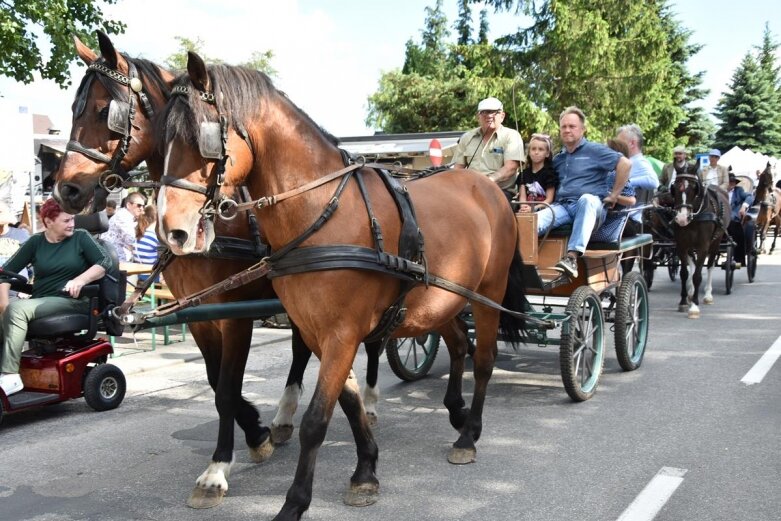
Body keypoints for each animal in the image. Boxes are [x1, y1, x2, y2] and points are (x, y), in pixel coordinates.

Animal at [51, 31, 384, 508]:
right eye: (73, 110)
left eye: (103, 111)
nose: (65, 190)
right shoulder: (199, 313)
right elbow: (213, 380)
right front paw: (257, 431)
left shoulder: (235, 312)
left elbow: (226, 387)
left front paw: (219, 467)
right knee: (303, 347)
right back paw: (285, 415)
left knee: (369, 343)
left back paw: (368, 400)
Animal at [155, 51, 528, 520]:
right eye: (161, 141)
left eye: (202, 138)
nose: (172, 230)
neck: (322, 210)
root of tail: (486, 187)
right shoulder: (318, 332)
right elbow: (347, 401)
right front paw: (366, 470)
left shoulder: (341, 332)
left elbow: (317, 418)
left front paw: (294, 503)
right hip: (440, 298)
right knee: (460, 342)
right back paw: (457, 414)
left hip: (488, 295)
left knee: (484, 359)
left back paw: (469, 434)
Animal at [668, 162, 728, 316]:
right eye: (674, 188)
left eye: (694, 188)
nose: (682, 218)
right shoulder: (682, 245)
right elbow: (684, 273)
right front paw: (683, 301)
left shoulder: (703, 246)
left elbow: (697, 276)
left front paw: (694, 306)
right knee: (693, 264)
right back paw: (690, 292)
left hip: (715, 243)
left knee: (710, 265)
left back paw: (707, 295)